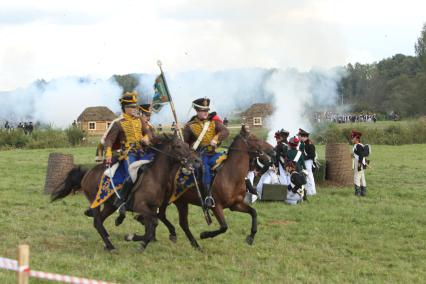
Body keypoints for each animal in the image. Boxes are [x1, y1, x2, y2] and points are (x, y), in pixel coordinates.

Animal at [51, 133, 200, 251]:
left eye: (186, 144)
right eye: (178, 146)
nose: (196, 160)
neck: (155, 176)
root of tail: (88, 172)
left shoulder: (153, 208)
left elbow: (152, 226)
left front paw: (140, 242)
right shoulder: (141, 206)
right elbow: (152, 224)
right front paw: (132, 238)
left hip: (110, 205)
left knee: (99, 221)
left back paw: (108, 241)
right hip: (96, 201)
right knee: (97, 222)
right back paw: (110, 246)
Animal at [127, 126, 272, 248]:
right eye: (254, 138)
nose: (271, 152)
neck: (231, 175)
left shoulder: (235, 205)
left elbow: (253, 213)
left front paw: (251, 237)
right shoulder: (216, 206)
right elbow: (224, 227)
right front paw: (204, 234)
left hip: (180, 202)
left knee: (171, 219)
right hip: (168, 200)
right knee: (162, 216)